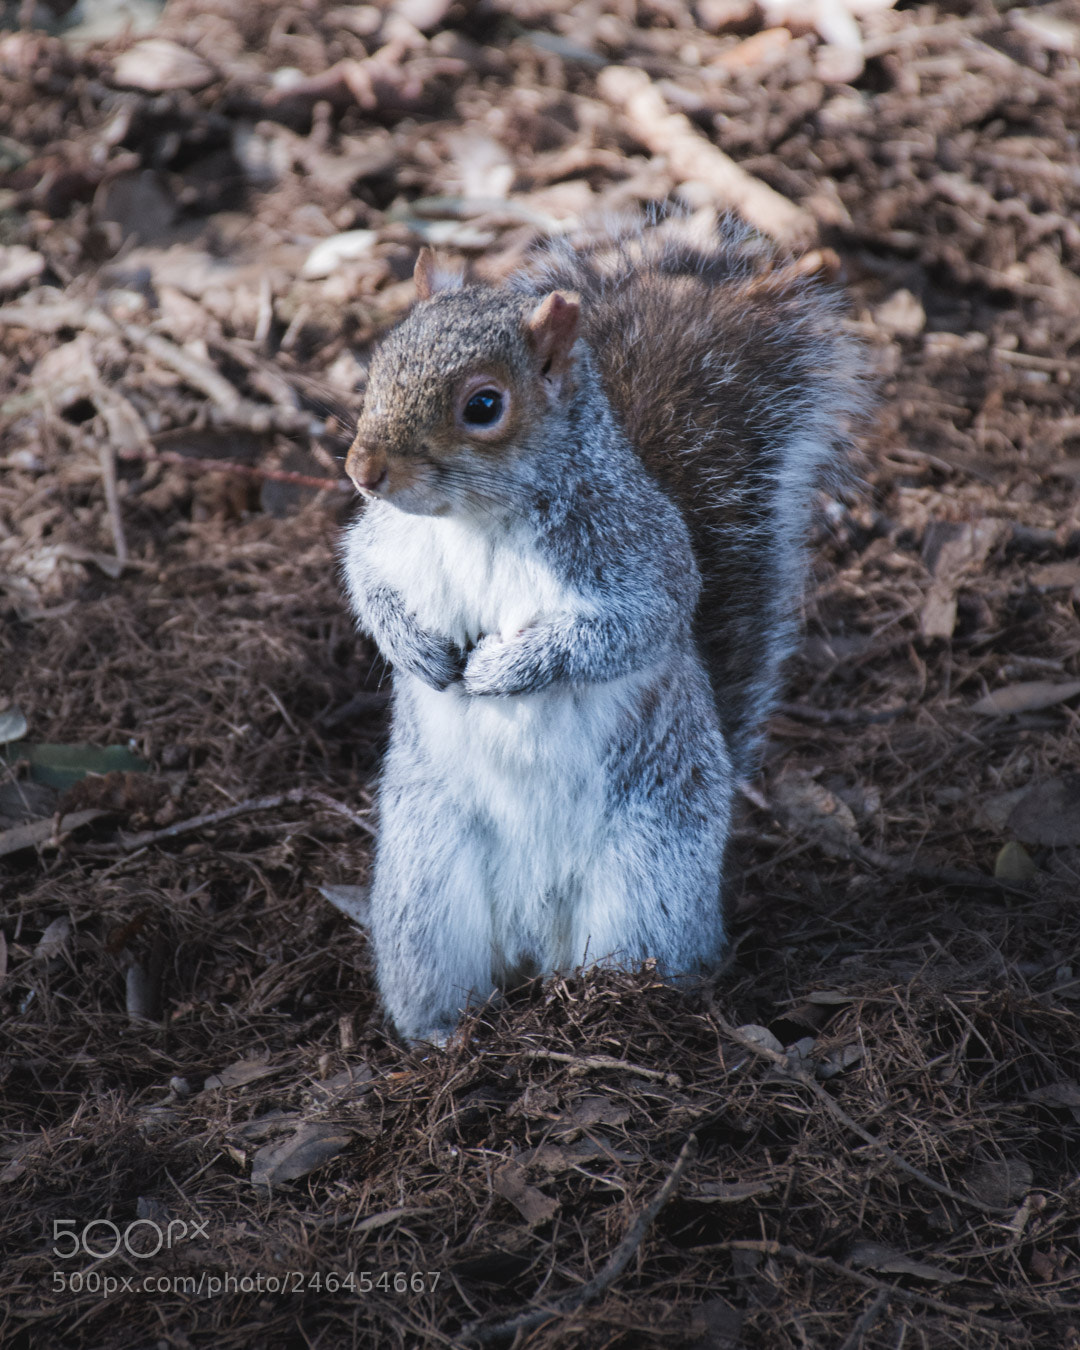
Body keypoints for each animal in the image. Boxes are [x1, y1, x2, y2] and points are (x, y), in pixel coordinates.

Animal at [341, 216, 864, 1045]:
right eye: (379, 366)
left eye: (483, 404)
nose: (363, 471)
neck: (477, 523)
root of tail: (533, 937)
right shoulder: (387, 544)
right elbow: (367, 581)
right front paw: (415, 651)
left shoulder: (637, 562)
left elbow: (625, 631)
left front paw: (502, 671)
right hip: (426, 893)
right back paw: (445, 1038)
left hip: (645, 880)